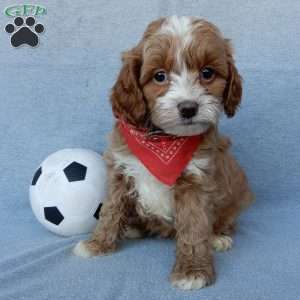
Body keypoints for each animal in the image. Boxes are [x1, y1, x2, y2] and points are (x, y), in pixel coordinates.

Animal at [73, 15, 253, 290]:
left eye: (207, 73)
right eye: (159, 76)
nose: (188, 108)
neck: (161, 139)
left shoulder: (196, 181)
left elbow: (193, 227)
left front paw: (192, 271)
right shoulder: (120, 169)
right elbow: (110, 210)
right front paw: (98, 244)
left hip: (235, 196)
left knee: (223, 221)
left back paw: (218, 237)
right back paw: (134, 227)